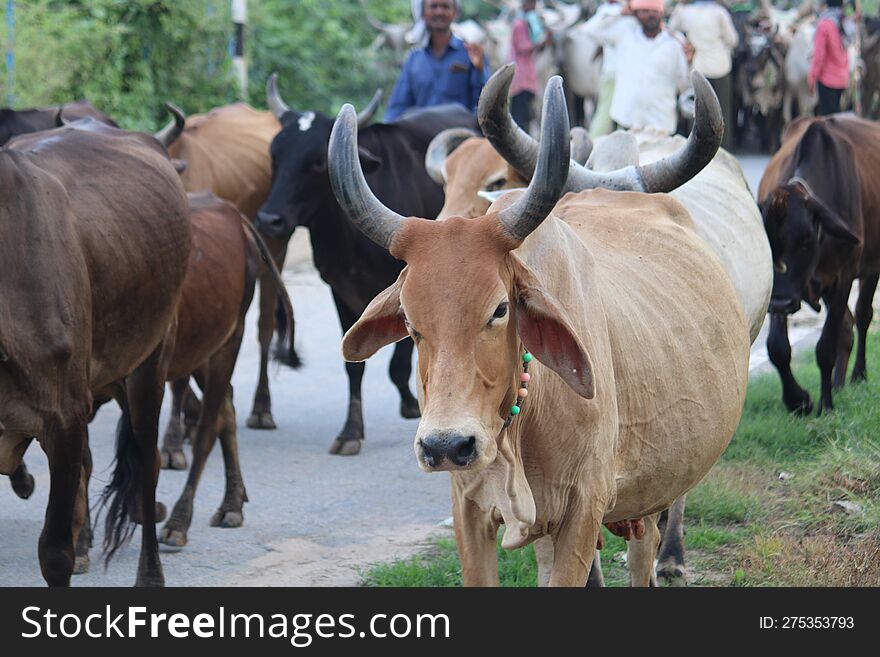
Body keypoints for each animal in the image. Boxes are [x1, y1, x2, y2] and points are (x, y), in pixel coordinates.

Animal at [254, 75, 482, 456]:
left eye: (317, 161)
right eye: (275, 154)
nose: (270, 220)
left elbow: (401, 362)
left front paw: (411, 404)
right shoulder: (339, 290)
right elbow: (354, 368)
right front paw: (350, 432)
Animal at [328, 72, 748, 584]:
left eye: (500, 310)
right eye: (408, 319)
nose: (446, 444)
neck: (523, 422)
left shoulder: (583, 510)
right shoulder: (469, 510)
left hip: (653, 484)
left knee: (643, 550)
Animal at [756, 112, 880, 410]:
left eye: (806, 239)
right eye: (767, 242)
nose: (780, 303)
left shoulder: (844, 275)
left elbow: (825, 346)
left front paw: (825, 405)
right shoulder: (784, 287)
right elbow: (777, 347)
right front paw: (798, 400)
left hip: (870, 268)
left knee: (862, 315)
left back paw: (857, 375)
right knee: (848, 326)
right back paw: (838, 383)